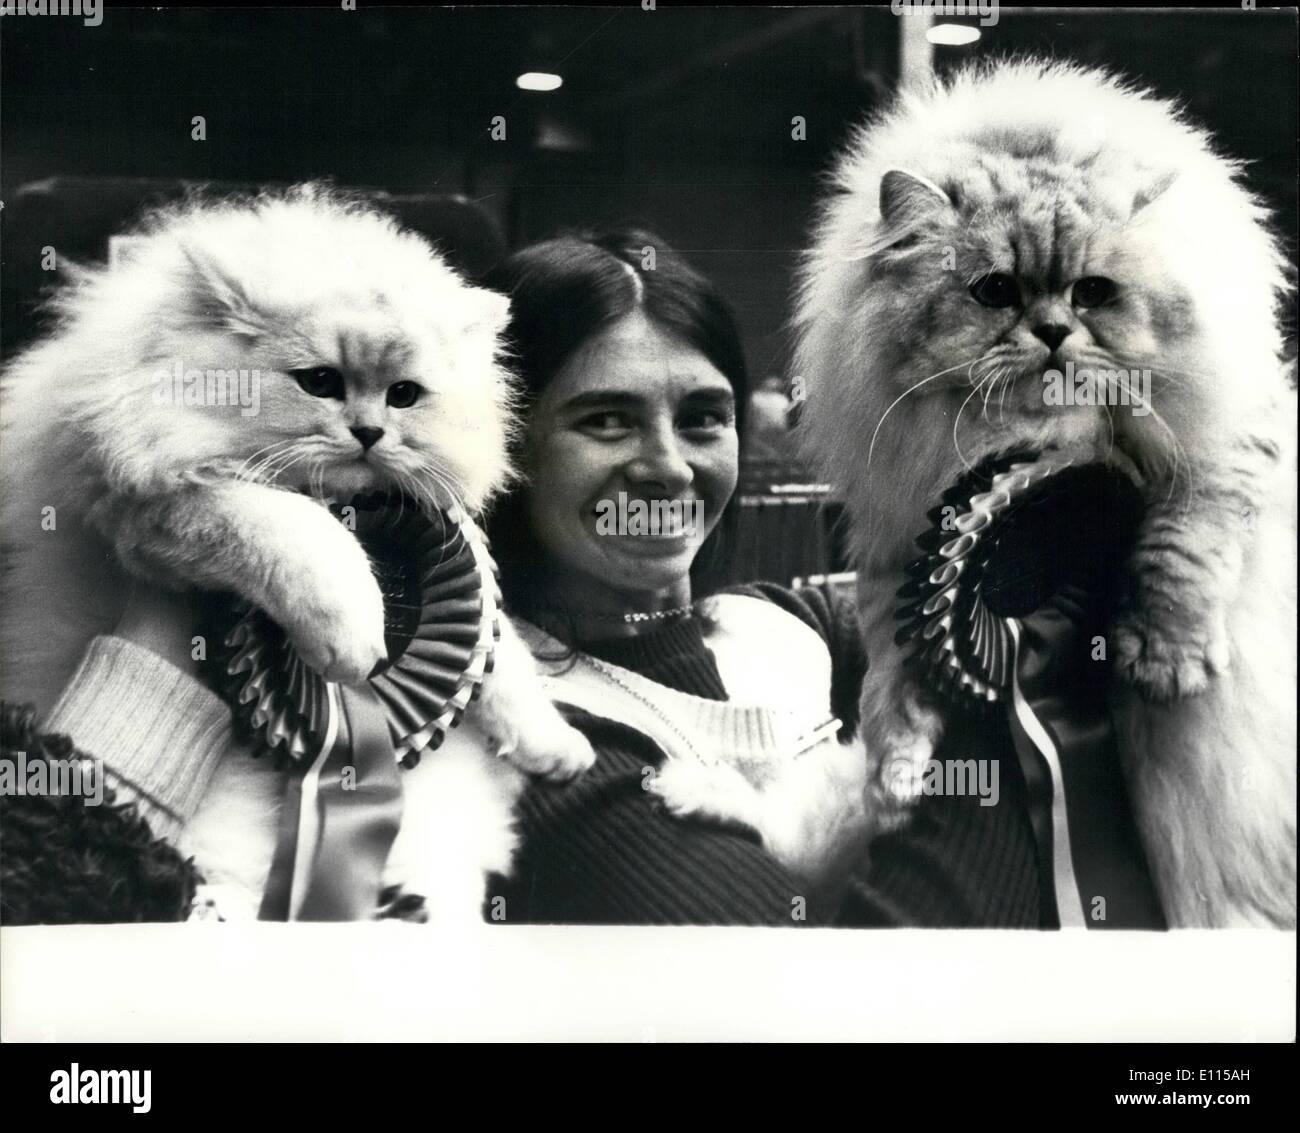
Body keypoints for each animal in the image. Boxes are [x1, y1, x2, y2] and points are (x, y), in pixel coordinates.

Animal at [0, 179, 595, 919]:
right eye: (319, 382)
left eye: (404, 396)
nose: (369, 433)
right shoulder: (166, 510)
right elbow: (305, 541)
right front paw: (355, 638)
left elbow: (499, 655)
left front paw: (556, 746)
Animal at [795, 59, 1294, 930]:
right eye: (995, 291)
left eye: (1092, 293)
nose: (1055, 332)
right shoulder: (900, 531)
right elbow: (893, 661)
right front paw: (896, 770)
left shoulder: (1223, 450)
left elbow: (1180, 548)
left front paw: (1164, 654)